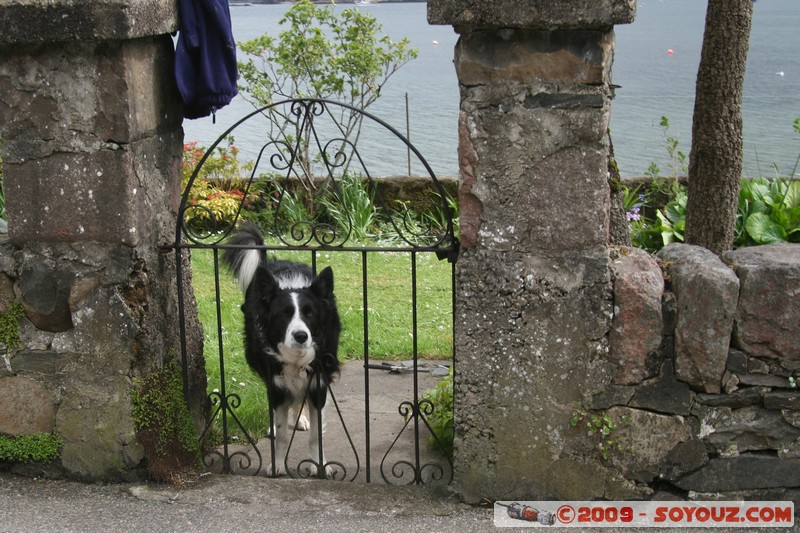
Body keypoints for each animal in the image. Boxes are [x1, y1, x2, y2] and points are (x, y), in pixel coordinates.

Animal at [222, 222, 340, 476]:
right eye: (284, 315)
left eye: (310, 313)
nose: (301, 336)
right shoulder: (275, 381)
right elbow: (283, 433)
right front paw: (277, 464)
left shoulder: (318, 382)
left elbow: (316, 435)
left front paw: (320, 465)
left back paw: (301, 418)